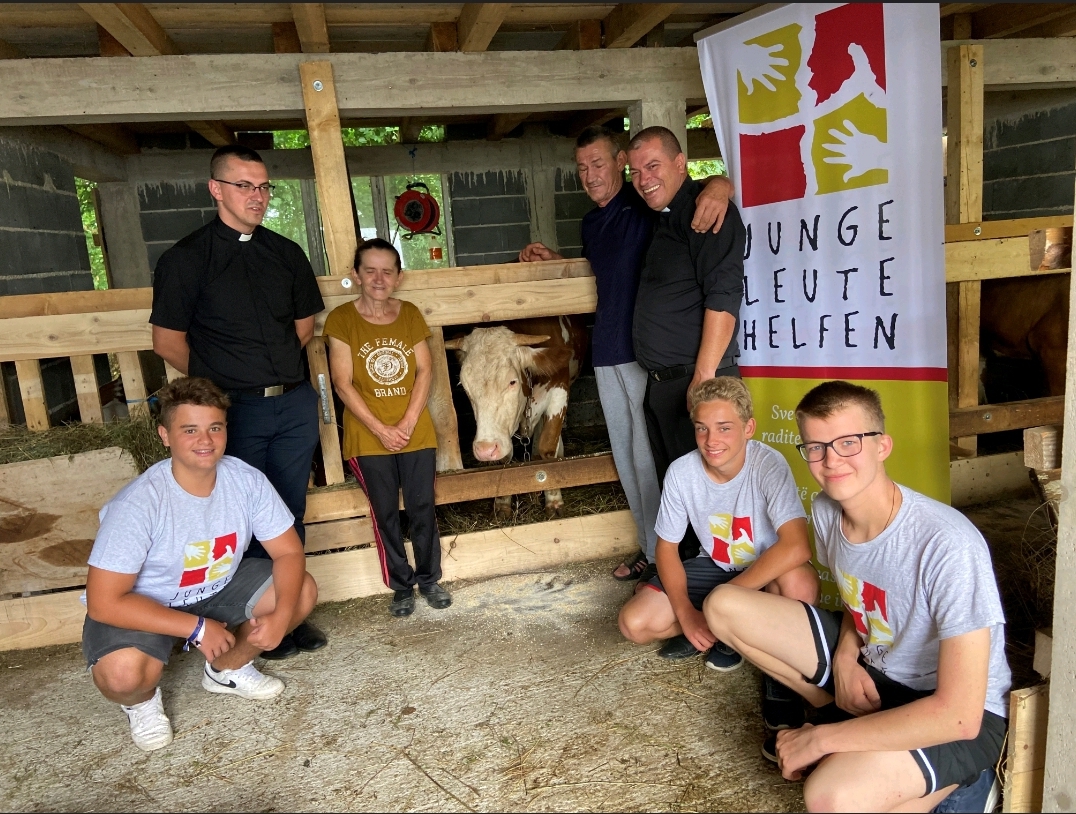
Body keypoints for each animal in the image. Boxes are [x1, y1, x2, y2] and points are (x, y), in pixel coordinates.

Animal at [444, 315, 588, 517]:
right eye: (464, 386)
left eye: (512, 381)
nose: (485, 449)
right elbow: (505, 459)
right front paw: (502, 503)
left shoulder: (559, 391)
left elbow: (548, 447)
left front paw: (554, 500)